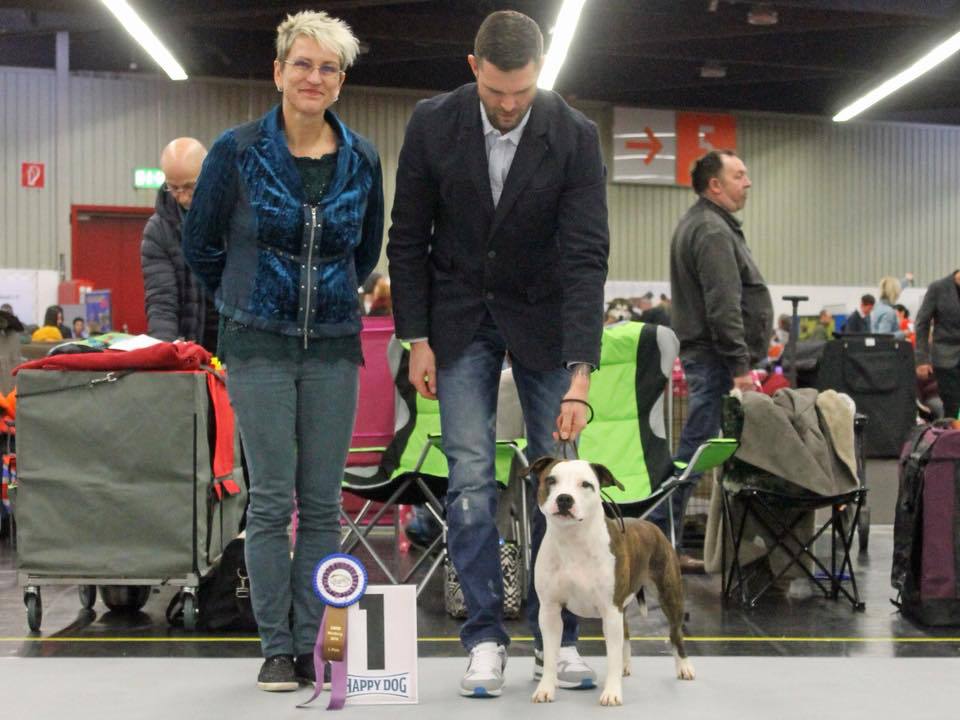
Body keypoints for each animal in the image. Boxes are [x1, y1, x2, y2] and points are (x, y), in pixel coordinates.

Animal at [528, 457, 695, 706]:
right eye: (551, 480)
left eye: (586, 484)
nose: (564, 498)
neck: (572, 540)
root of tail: (651, 525)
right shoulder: (549, 610)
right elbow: (549, 655)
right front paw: (545, 689)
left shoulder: (610, 609)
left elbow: (612, 656)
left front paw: (612, 693)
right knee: (625, 633)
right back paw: (626, 666)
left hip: (669, 593)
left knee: (674, 633)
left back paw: (684, 667)